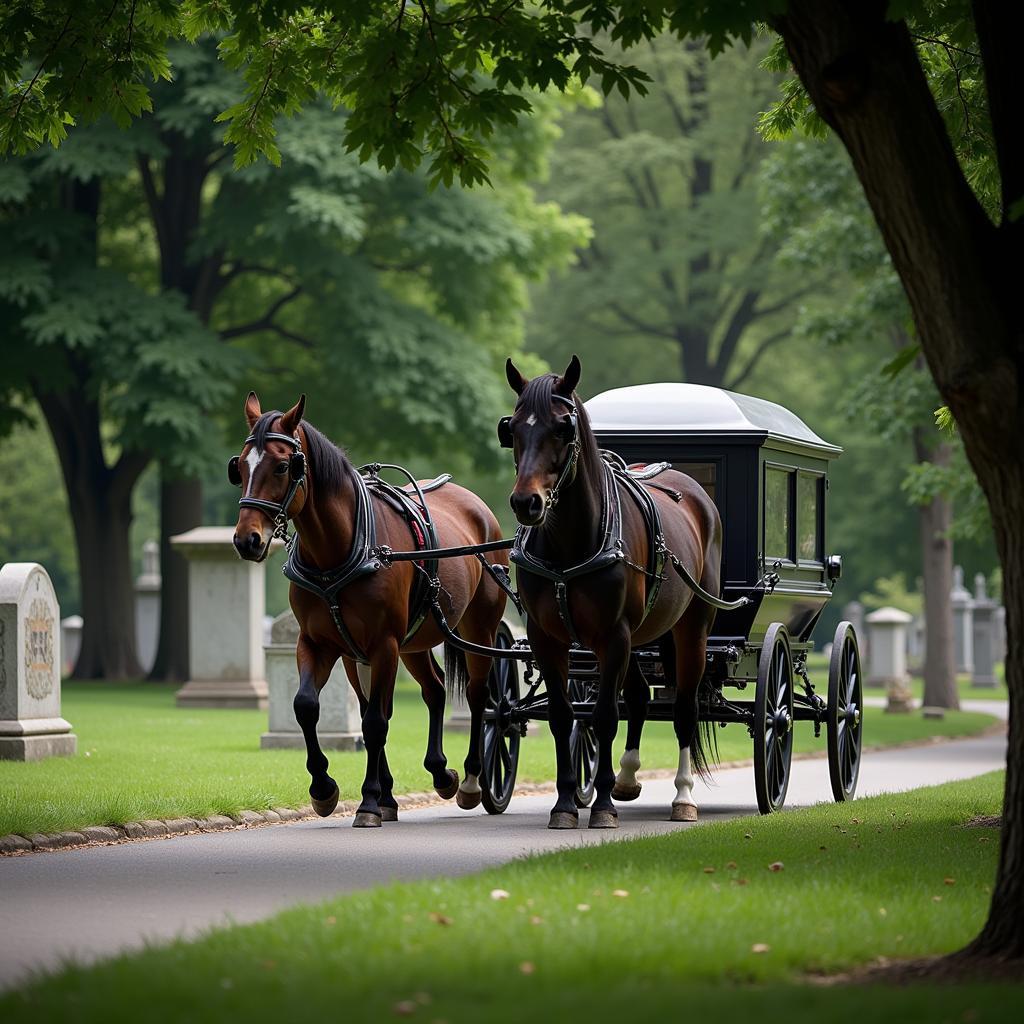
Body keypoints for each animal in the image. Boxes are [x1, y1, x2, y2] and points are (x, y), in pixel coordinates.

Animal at [230, 387, 505, 827]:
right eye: (239, 467)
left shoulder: (383, 645)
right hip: (414, 641)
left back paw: (471, 779)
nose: (247, 540)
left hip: (476, 630)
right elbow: (310, 706)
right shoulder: (325, 645)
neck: (339, 551)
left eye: (283, 466)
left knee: (481, 697)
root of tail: (477, 508)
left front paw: (371, 800)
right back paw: (440, 771)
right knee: (435, 689)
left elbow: (376, 721)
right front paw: (326, 788)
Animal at [501, 356, 720, 827]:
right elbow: (564, 716)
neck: (570, 542)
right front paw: (566, 803)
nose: (526, 503)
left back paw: (683, 796)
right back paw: (627, 777)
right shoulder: (549, 639)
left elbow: (604, 717)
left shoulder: (612, 636)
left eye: (562, 427)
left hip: (690, 629)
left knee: (685, 710)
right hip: (637, 638)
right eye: (512, 428)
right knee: (637, 697)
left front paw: (601, 806)